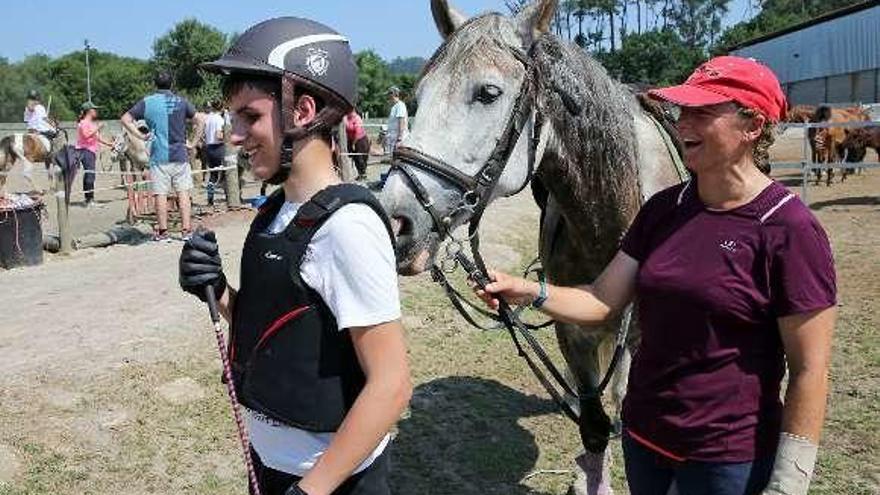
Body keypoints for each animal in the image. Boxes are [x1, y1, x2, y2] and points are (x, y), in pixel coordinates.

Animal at [374, 1, 684, 494]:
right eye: (418, 98)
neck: (614, 218)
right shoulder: (572, 332)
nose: (394, 221)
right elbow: (593, 424)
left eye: (488, 93)